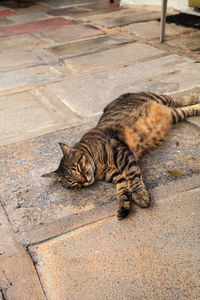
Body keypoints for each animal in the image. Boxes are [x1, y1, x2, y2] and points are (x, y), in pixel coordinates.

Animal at [42, 92, 200, 219]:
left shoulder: (122, 154)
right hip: (172, 115)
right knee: (182, 109)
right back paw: (196, 106)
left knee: (176, 100)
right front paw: (123, 207)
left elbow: (133, 176)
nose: (84, 180)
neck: (98, 168)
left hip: (159, 99)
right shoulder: (116, 174)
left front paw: (139, 195)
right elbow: (123, 189)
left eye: (78, 168)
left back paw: (193, 97)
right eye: (73, 182)